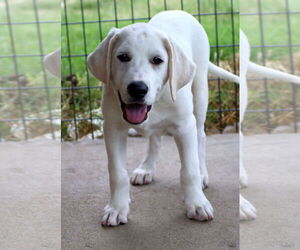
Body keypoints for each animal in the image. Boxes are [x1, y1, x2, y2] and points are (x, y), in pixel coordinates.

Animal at [88, 11, 238, 227]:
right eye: (122, 57)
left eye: (157, 60)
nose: (138, 89)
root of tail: (178, 11)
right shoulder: (113, 129)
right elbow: (117, 173)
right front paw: (116, 208)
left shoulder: (185, 127)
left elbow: (189, 170)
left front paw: (197, 204)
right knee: (155, 138)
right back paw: (146, 168)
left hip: (200, 93)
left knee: (200, 136)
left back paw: (202, 173)